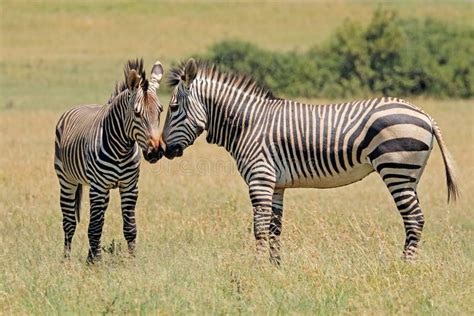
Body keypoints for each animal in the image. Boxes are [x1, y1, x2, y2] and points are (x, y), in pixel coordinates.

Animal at [54, 58, 163, 262]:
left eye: (160, 111)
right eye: (137, 113)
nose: (156, 152)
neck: (121, 149)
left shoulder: (130, 186)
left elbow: (129, 228)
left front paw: (131, 260)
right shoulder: (97, 187)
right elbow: (95, 227)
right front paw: (96, 262)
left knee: (99, 218)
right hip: (67, 180)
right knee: (69, 222)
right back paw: (66, 259)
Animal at [156, 58, 460, 264]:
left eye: (172, 108)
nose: (161, 150)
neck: (248, 124)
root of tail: (424, 114)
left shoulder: (260, 179)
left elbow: (259, 226)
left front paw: (256, 268)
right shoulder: (276, 185)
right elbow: (275, 228)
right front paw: (275, 268)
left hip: (396, 170)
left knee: (414, 219)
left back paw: (405, 267)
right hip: (410, 176)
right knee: (415, 218)